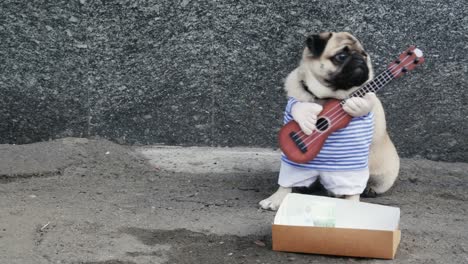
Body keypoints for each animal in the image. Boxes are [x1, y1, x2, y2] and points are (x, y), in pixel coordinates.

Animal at [260, 31, 398, 210]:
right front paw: (277, 198)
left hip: (383, 173)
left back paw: (364, 190)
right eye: (341, 56)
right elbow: (285, 182)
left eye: (364, 55)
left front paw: (352, 205)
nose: (360, 59)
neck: (328, 97)